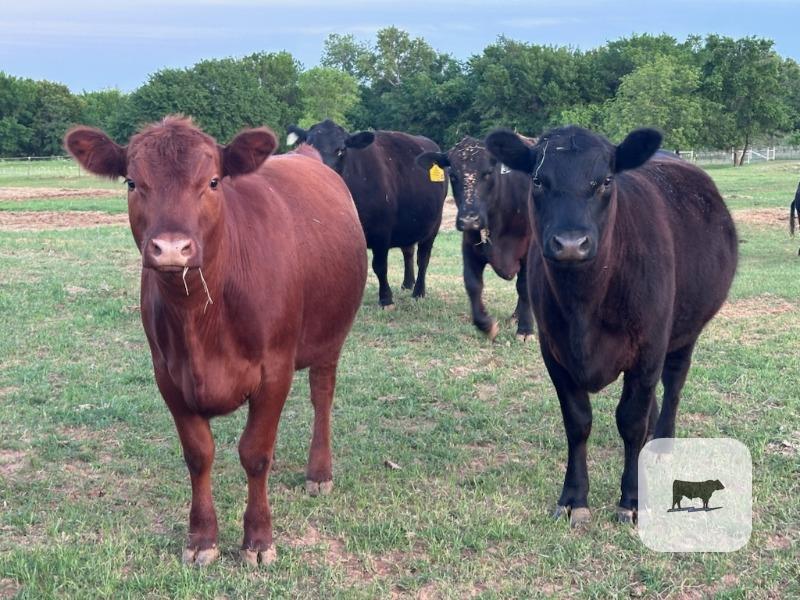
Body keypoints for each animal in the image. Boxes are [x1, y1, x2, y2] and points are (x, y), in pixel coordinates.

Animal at [64, 116, 367, 567]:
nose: (172, 247)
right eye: (132, 182)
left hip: (331, 335)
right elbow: (198, 454)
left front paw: (258, 540)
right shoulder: (168, 375)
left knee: (322, 396)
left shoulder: (274, 370)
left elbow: (255, 454)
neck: (200, 316)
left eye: (211, 182)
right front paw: (202, 539)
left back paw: (319, 473)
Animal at [286, 119, 447, 309]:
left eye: (341, 149)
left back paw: (418, 292)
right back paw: (407, 284)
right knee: (408, 250)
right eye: (309, 145)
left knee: (423, 257)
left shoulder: (381, 232)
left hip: (434, 224)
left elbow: (380, 266)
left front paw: (386, 299)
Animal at [416, 136, 534, 341]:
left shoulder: (528, 250)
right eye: (453, 175)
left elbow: (524, 287)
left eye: (488, 173)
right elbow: (472, 284)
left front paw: (526, 329)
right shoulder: (470, 247)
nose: (469, 220)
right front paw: (486, 325)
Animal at [485, 125, 738, 527]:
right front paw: (573, 497)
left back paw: (662, 444)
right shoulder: (553, 351)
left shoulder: (648, 348)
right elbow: (578, 422)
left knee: (673, 384)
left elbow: (631, 421)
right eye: (538, 180)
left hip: (685, 331)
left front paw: (632, 499)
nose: (571, 243)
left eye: (605, 181)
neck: (584, 306)